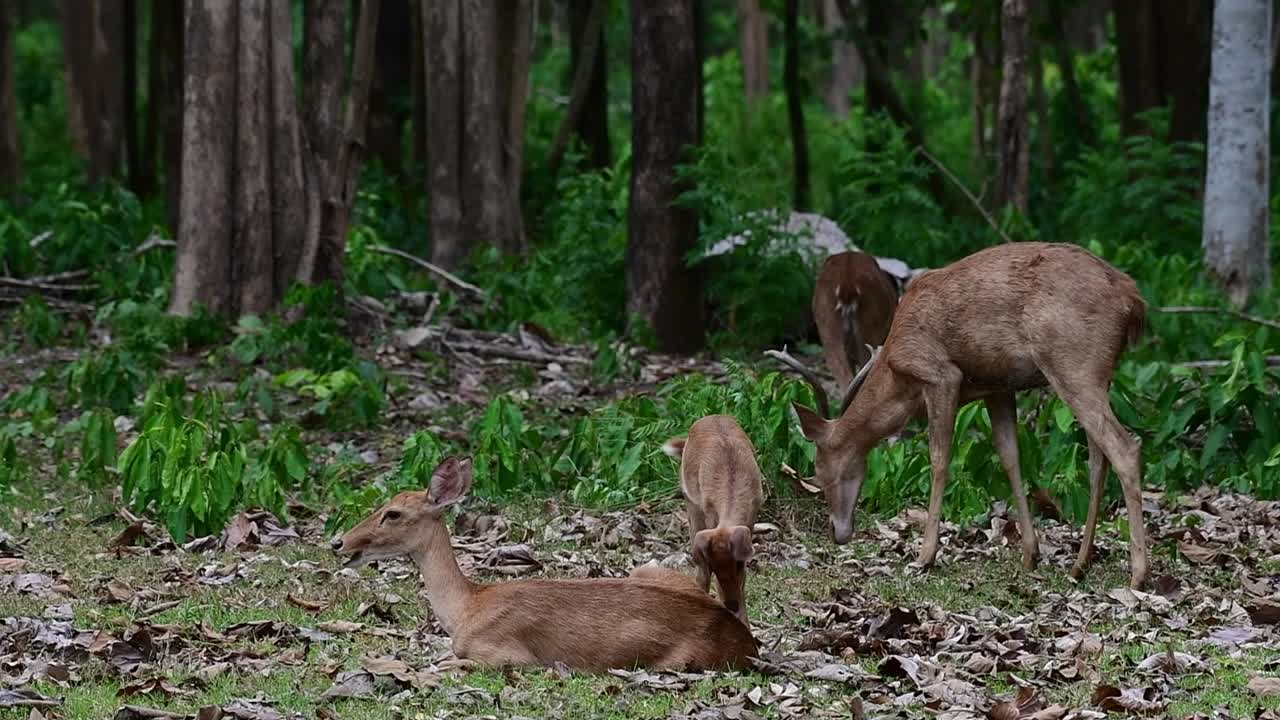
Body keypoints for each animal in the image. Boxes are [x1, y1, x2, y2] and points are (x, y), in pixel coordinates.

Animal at [332, 456, 758, 672]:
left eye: (393, 514)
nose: (338, 542)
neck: (467, 608)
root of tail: (747, 644)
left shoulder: (507, 654)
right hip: (650, 568)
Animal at [662, 415, 763, 624]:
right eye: (714, 568)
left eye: (739, 564)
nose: (731, 605)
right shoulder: (708, 514)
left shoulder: (752, 516)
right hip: (691, 502)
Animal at [790, 242, 1151, 589]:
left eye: (820, 471)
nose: (837, 532)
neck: (897, 376)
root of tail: (1133, 301)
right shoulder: (997, 387)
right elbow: (1010, 456)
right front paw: (1030, 553)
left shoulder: (940, 375)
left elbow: (939, 458)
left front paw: (924, 556)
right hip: (1094, 374)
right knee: (1098, 459)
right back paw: (1080, 565)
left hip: (1072, 362)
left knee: (1124, 448)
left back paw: (1138, 574)